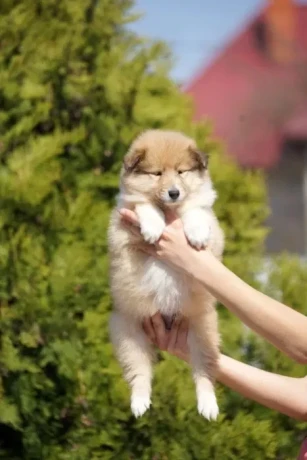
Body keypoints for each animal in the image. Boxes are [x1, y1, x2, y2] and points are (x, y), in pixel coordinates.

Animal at [107, 128, 224, 420]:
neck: (170, 209)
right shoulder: (123, 220)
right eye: (157, 173)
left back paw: (208, 406)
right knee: (140, 374)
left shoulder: (210, 221)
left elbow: (196, 211)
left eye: (181, 172)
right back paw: (139, 403)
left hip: (203, 333)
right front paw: (152, 227)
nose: (173, 193)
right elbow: (144, 205)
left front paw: (196, 233)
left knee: (204, 374)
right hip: (128, 334)